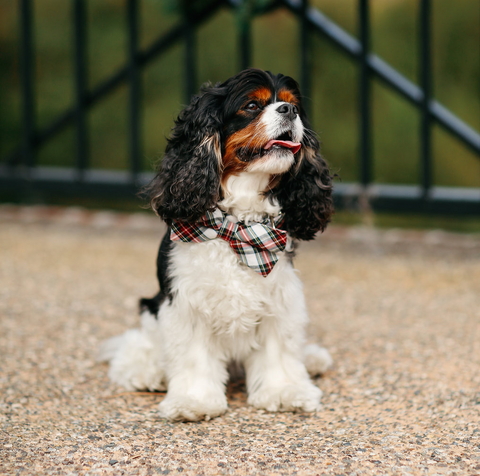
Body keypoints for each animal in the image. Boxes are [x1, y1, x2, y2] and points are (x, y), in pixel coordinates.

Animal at [100, 68, 334, 420]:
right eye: (252, 105)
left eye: (293, 105)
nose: (289, 111)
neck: (237, 227)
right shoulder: (187, 302)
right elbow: (193, 356)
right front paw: (193, 401)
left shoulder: (280, 298)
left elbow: (279, 350)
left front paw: (284, 392)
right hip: (151, 308)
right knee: (135, 347)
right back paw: (146, 371)